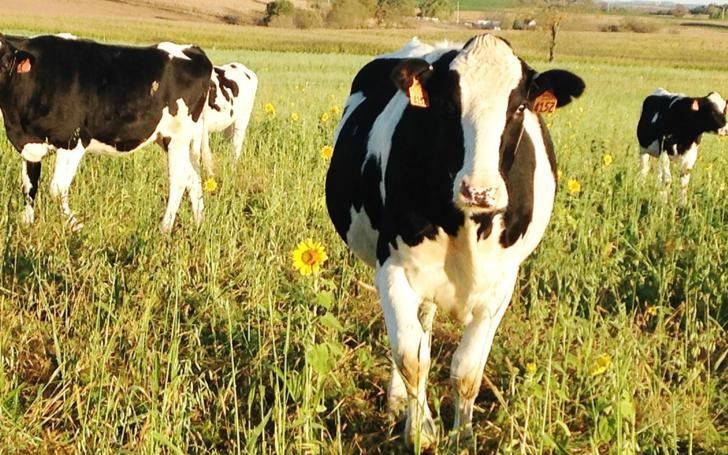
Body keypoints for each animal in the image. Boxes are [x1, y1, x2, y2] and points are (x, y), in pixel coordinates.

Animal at [0, 34, 213, 232]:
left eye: (4, 63)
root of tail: (193, 50)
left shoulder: (73, 142)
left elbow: (57, 190)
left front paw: (76, 226)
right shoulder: (29, 146)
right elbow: (29, 187)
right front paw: (27, 224)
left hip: (178, 136)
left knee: (179, 179)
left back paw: (165, 228)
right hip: (171, 139)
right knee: (193, 177)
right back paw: (199, 224)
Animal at [325, 34, 585, 448]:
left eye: (519, 107)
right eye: (448, 104)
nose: (480, 191)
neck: (467, 224)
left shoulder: (501, 285)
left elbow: (467, 369)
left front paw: (463, 436)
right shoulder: (393, 268)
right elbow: (411, 356)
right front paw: (420, 431)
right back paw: (398, 401)